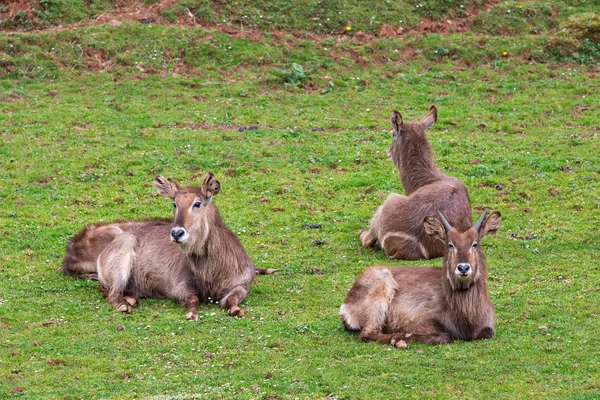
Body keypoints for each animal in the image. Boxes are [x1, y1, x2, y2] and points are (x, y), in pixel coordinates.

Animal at [62, 172, 270, 318]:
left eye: (197, 203)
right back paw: (125, 304)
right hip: (124, 249)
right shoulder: (178, 285)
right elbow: (192, 299)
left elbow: (232, 300)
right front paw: (192, 313)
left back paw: (131, 299)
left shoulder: (241, 285)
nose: (177, 232)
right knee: (111, 294)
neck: (212, 273)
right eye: (174, 203)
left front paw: (236, 310)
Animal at [342, 209, 502, 346]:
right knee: (367, 333)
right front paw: (403, 337)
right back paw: (399, 342)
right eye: (450, 244)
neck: (468, 320)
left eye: (475, 243)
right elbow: (443, 336)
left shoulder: (487, 328)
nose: (463, 267)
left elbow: (486, 333)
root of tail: (345, 305)